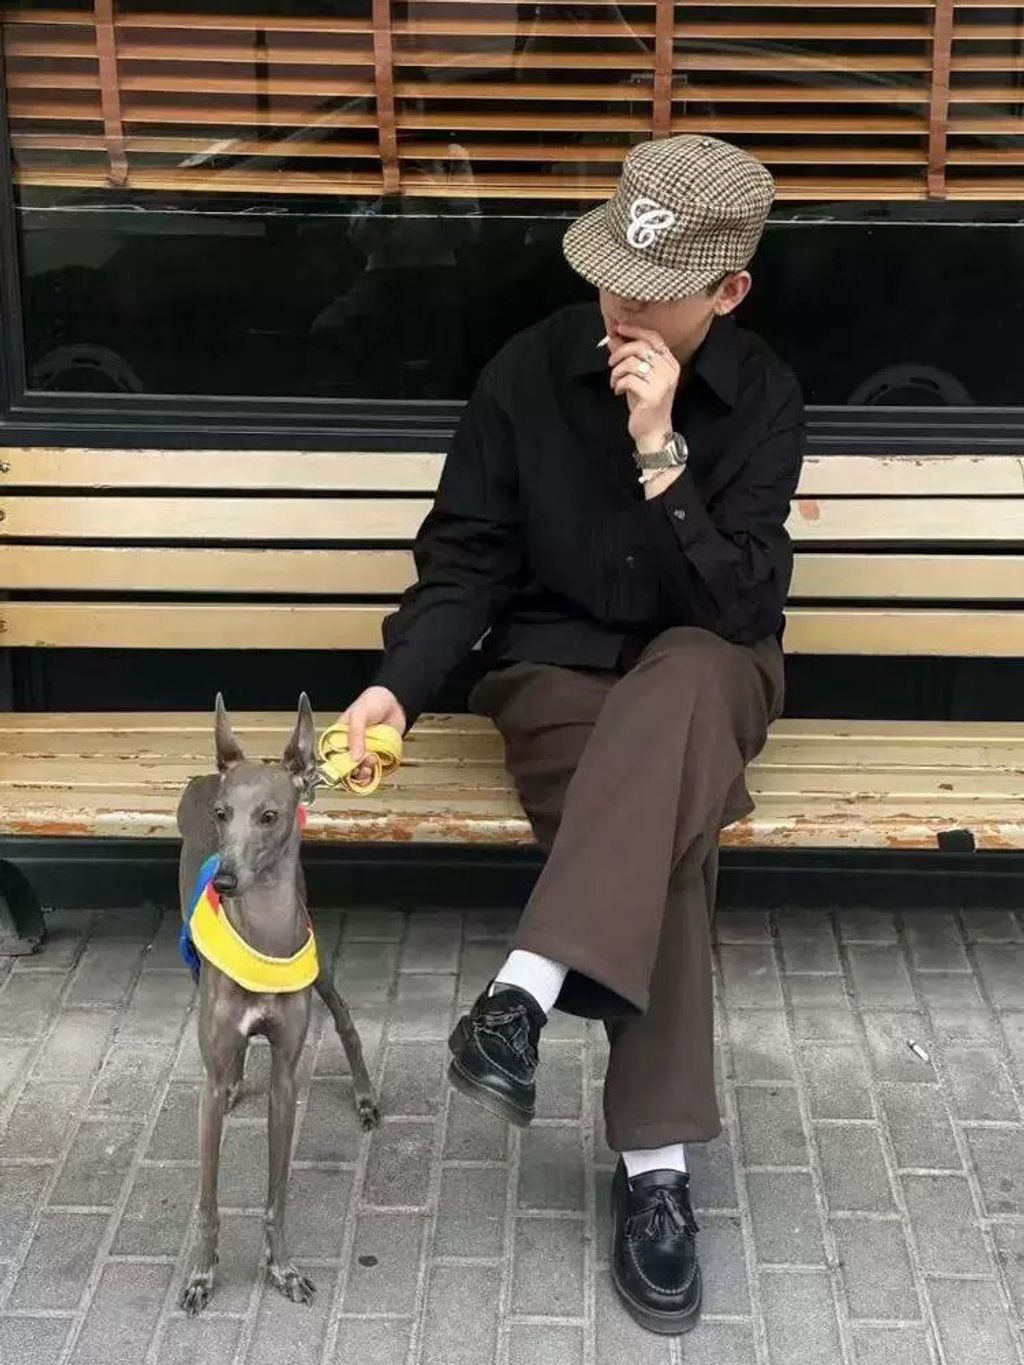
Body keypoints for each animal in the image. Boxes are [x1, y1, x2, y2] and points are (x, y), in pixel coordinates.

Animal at [176, 694, 379, 1315]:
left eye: (268, 816)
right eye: (222, 814)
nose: (227, 881)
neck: (260, 938)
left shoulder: (287, 1084)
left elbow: (277, 1194)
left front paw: (282, 1268)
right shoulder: (208, 1089)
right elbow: (208, 1200)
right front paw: (202, 1273)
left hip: (322, 969)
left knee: (346, 1022)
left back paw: (365, 1097)